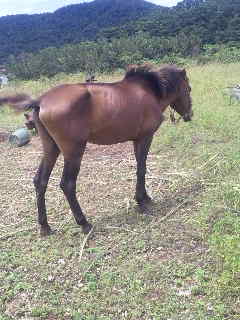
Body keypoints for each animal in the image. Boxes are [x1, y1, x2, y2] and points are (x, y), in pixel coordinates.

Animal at [0, 64, 192, 235]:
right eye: (189, 89)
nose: (190, 115)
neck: (150, 91)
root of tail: (41, 100)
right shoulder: (144, 138)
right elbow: (141, 169)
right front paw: (142, 200)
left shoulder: (138, 140)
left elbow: (140, 168)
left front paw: (144, 198)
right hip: (74, 151)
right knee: (67, 184)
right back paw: (84, 223)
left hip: (51, 148)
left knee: (40, 181)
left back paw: (45, 226)